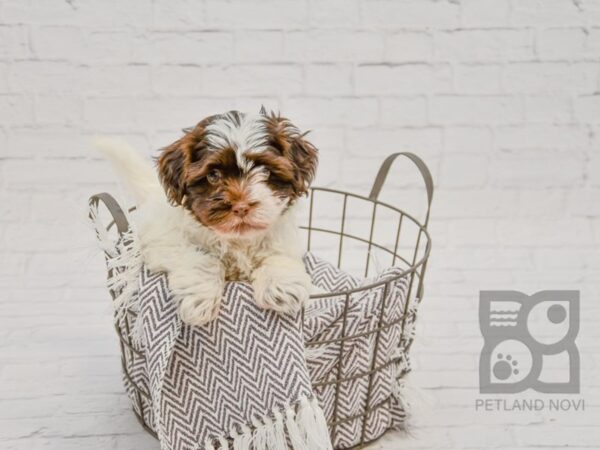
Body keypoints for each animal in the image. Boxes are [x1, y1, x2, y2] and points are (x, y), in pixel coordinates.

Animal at [97, 110, 318, 326]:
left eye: (264, 171)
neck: (236, 241)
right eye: (213, 175)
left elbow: (278, 254)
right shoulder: (164, 240)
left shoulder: (283, 238)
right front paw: (200, 299)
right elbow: (201, 258)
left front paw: (281, 286)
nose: (241, 207)